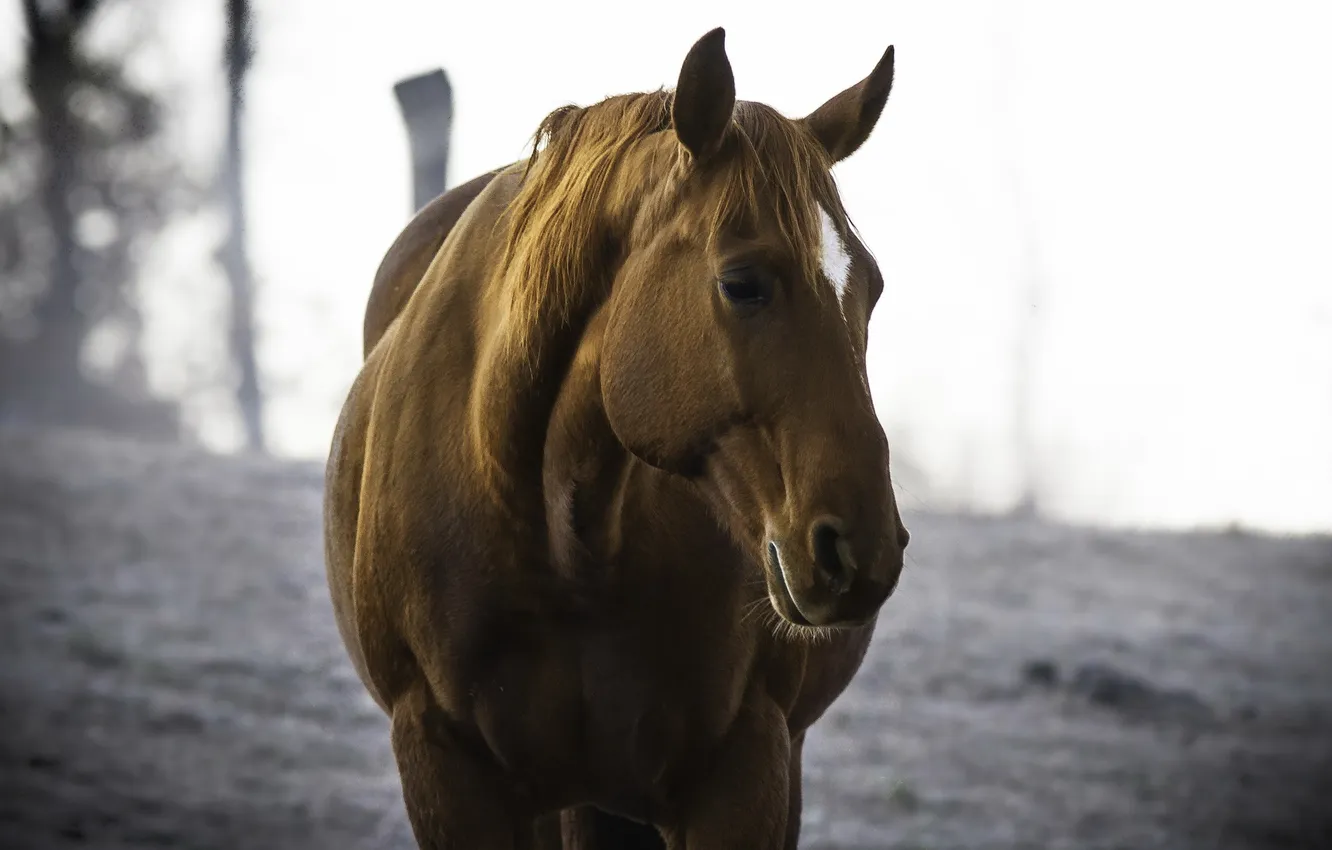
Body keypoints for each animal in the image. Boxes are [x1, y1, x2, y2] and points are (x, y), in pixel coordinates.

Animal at [324, 27, 908, 849]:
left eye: (873, 290)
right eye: (742, 283)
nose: (861, 551)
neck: (565, 545)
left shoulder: (746, 769)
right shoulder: (444, 770)